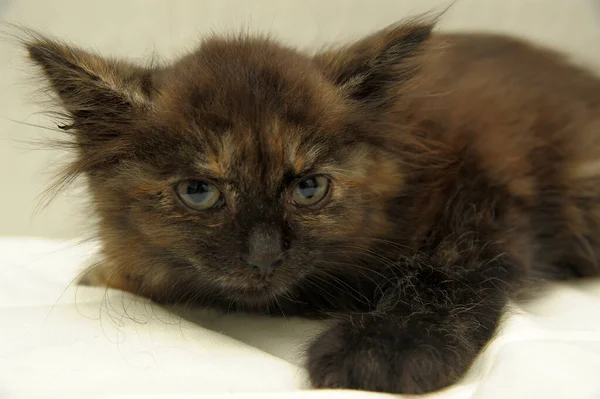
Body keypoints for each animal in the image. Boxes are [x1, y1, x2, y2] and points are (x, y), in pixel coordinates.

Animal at [21, 17, 600, 396]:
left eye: (309, 188)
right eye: (199, 192)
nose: (264, 256)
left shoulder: (484, 190)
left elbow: (448, 267)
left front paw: (387, 348)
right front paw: (109, 273)